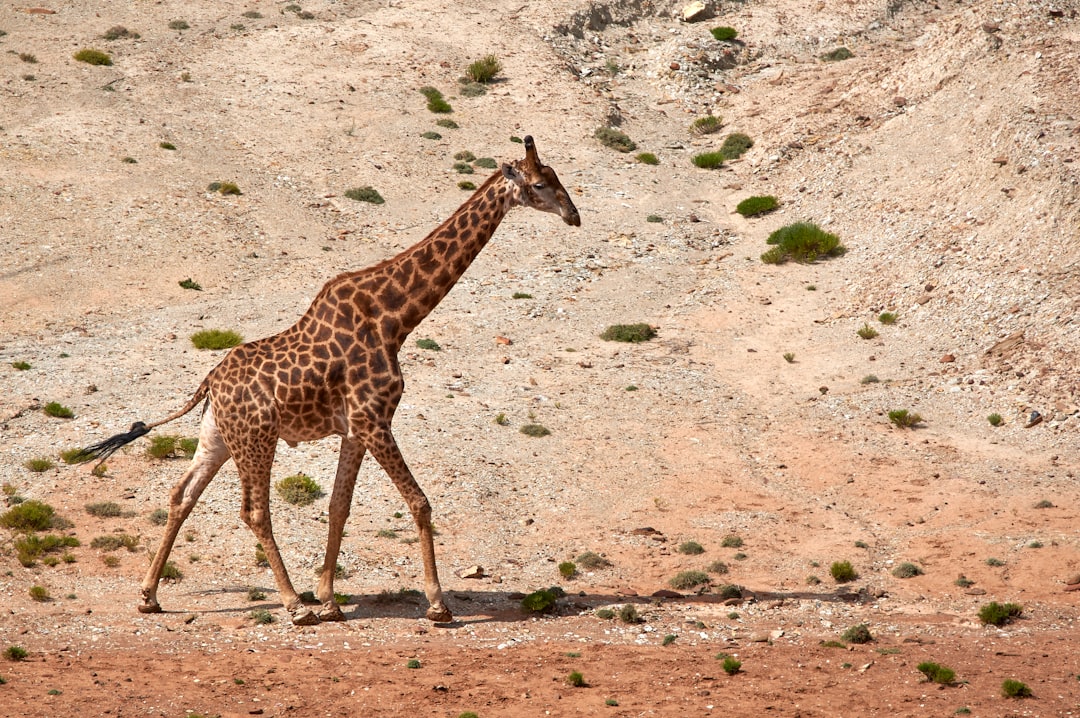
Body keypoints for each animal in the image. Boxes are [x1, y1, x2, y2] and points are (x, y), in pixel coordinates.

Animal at [76, 137, 578, 626]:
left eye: (555, 177)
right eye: (538, 183)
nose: (574, 215)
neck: (395, 319)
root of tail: (209, 383)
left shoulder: (356, 428)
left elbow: (339, 506)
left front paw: (331, 600)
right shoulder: (374, 420)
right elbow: (419, 502)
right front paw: (437, 605)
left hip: (219, 437)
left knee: (182, 494)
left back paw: (149, 596)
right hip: (257, 439)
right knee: (254, 511)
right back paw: (293, 606)